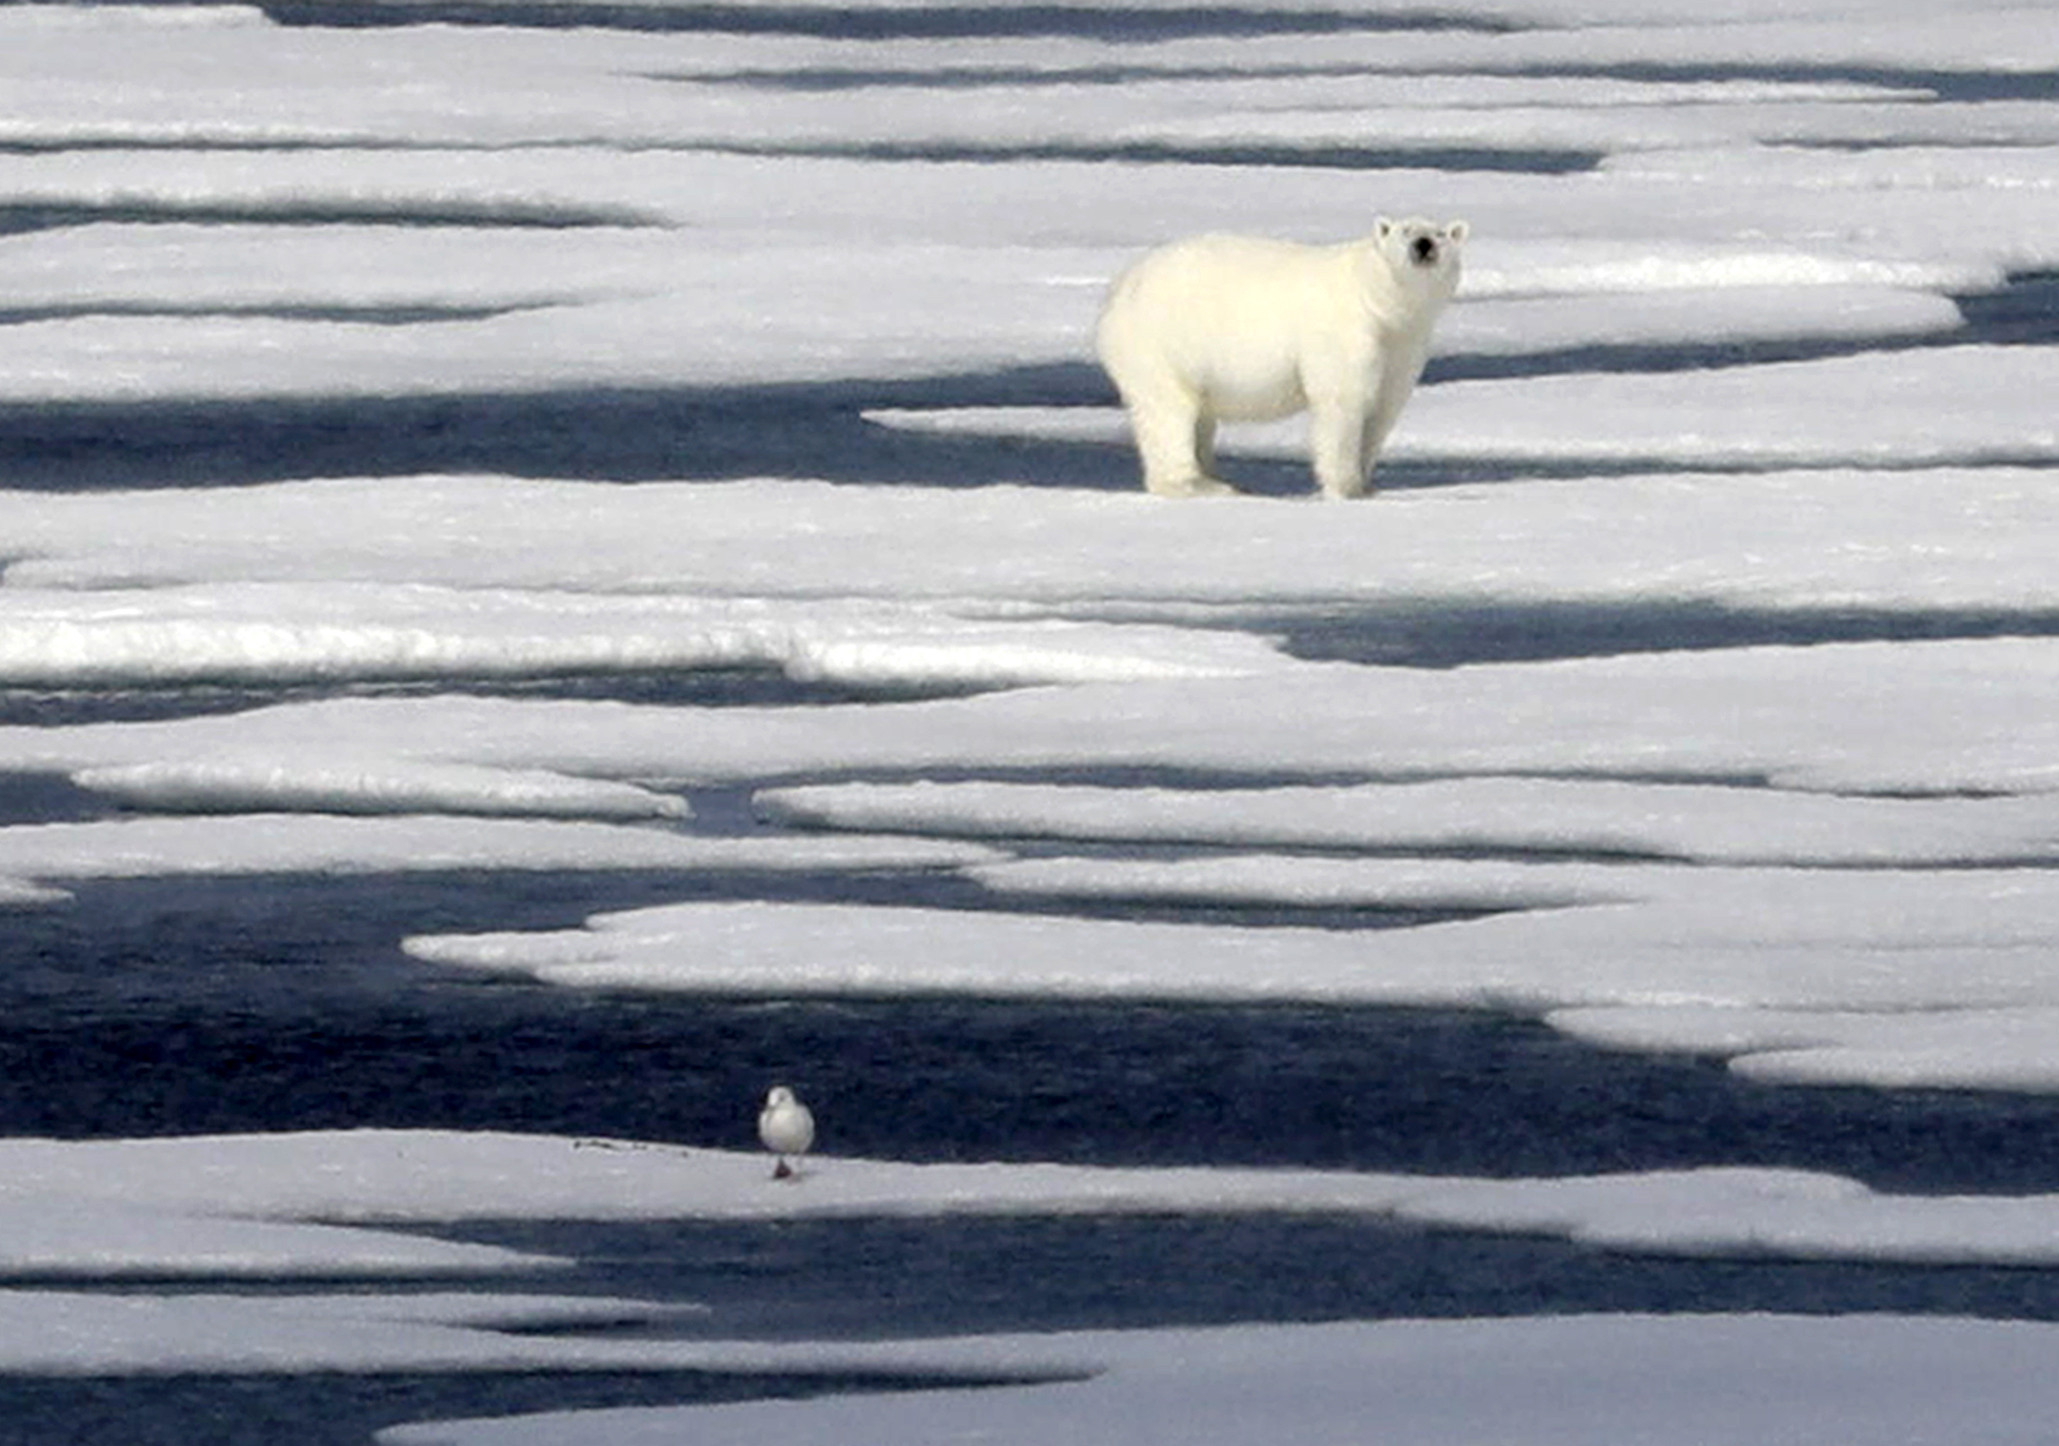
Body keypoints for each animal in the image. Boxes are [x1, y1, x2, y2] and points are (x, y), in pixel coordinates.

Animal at [1095, 218, 1466, 500]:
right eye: (1405, 230)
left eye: (1440, 233)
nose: (1423, 245)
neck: (1376, 300)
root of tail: (1118, 291)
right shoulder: (1343, 334)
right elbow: (1342, 403)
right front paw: (1345, 488)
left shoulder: (1402, 346)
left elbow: (1383, 410)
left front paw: (1366, 484)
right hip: (1161, 343)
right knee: (1170, 410)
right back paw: (1200, 485)